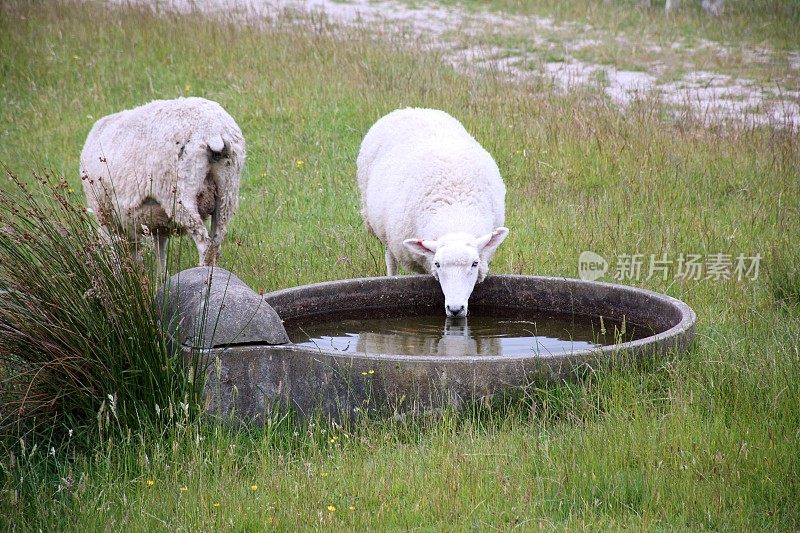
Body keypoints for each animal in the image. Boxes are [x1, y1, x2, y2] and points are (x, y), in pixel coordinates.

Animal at [81, 96, 245, 272]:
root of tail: (212, 130)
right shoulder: (158, 225)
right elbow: (160, 251)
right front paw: (160, 276)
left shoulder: (106, 215)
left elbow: (116, 254)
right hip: (227, 191)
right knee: (216, 242)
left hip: (179, 192)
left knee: (204, 243)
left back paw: (202, 271)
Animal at [358, 108, 510, 316]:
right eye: (438, 264)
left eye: (475, 263)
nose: (455, 309)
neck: (455, 214)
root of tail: (411, 109)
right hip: (383, 231)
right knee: (390, 259)